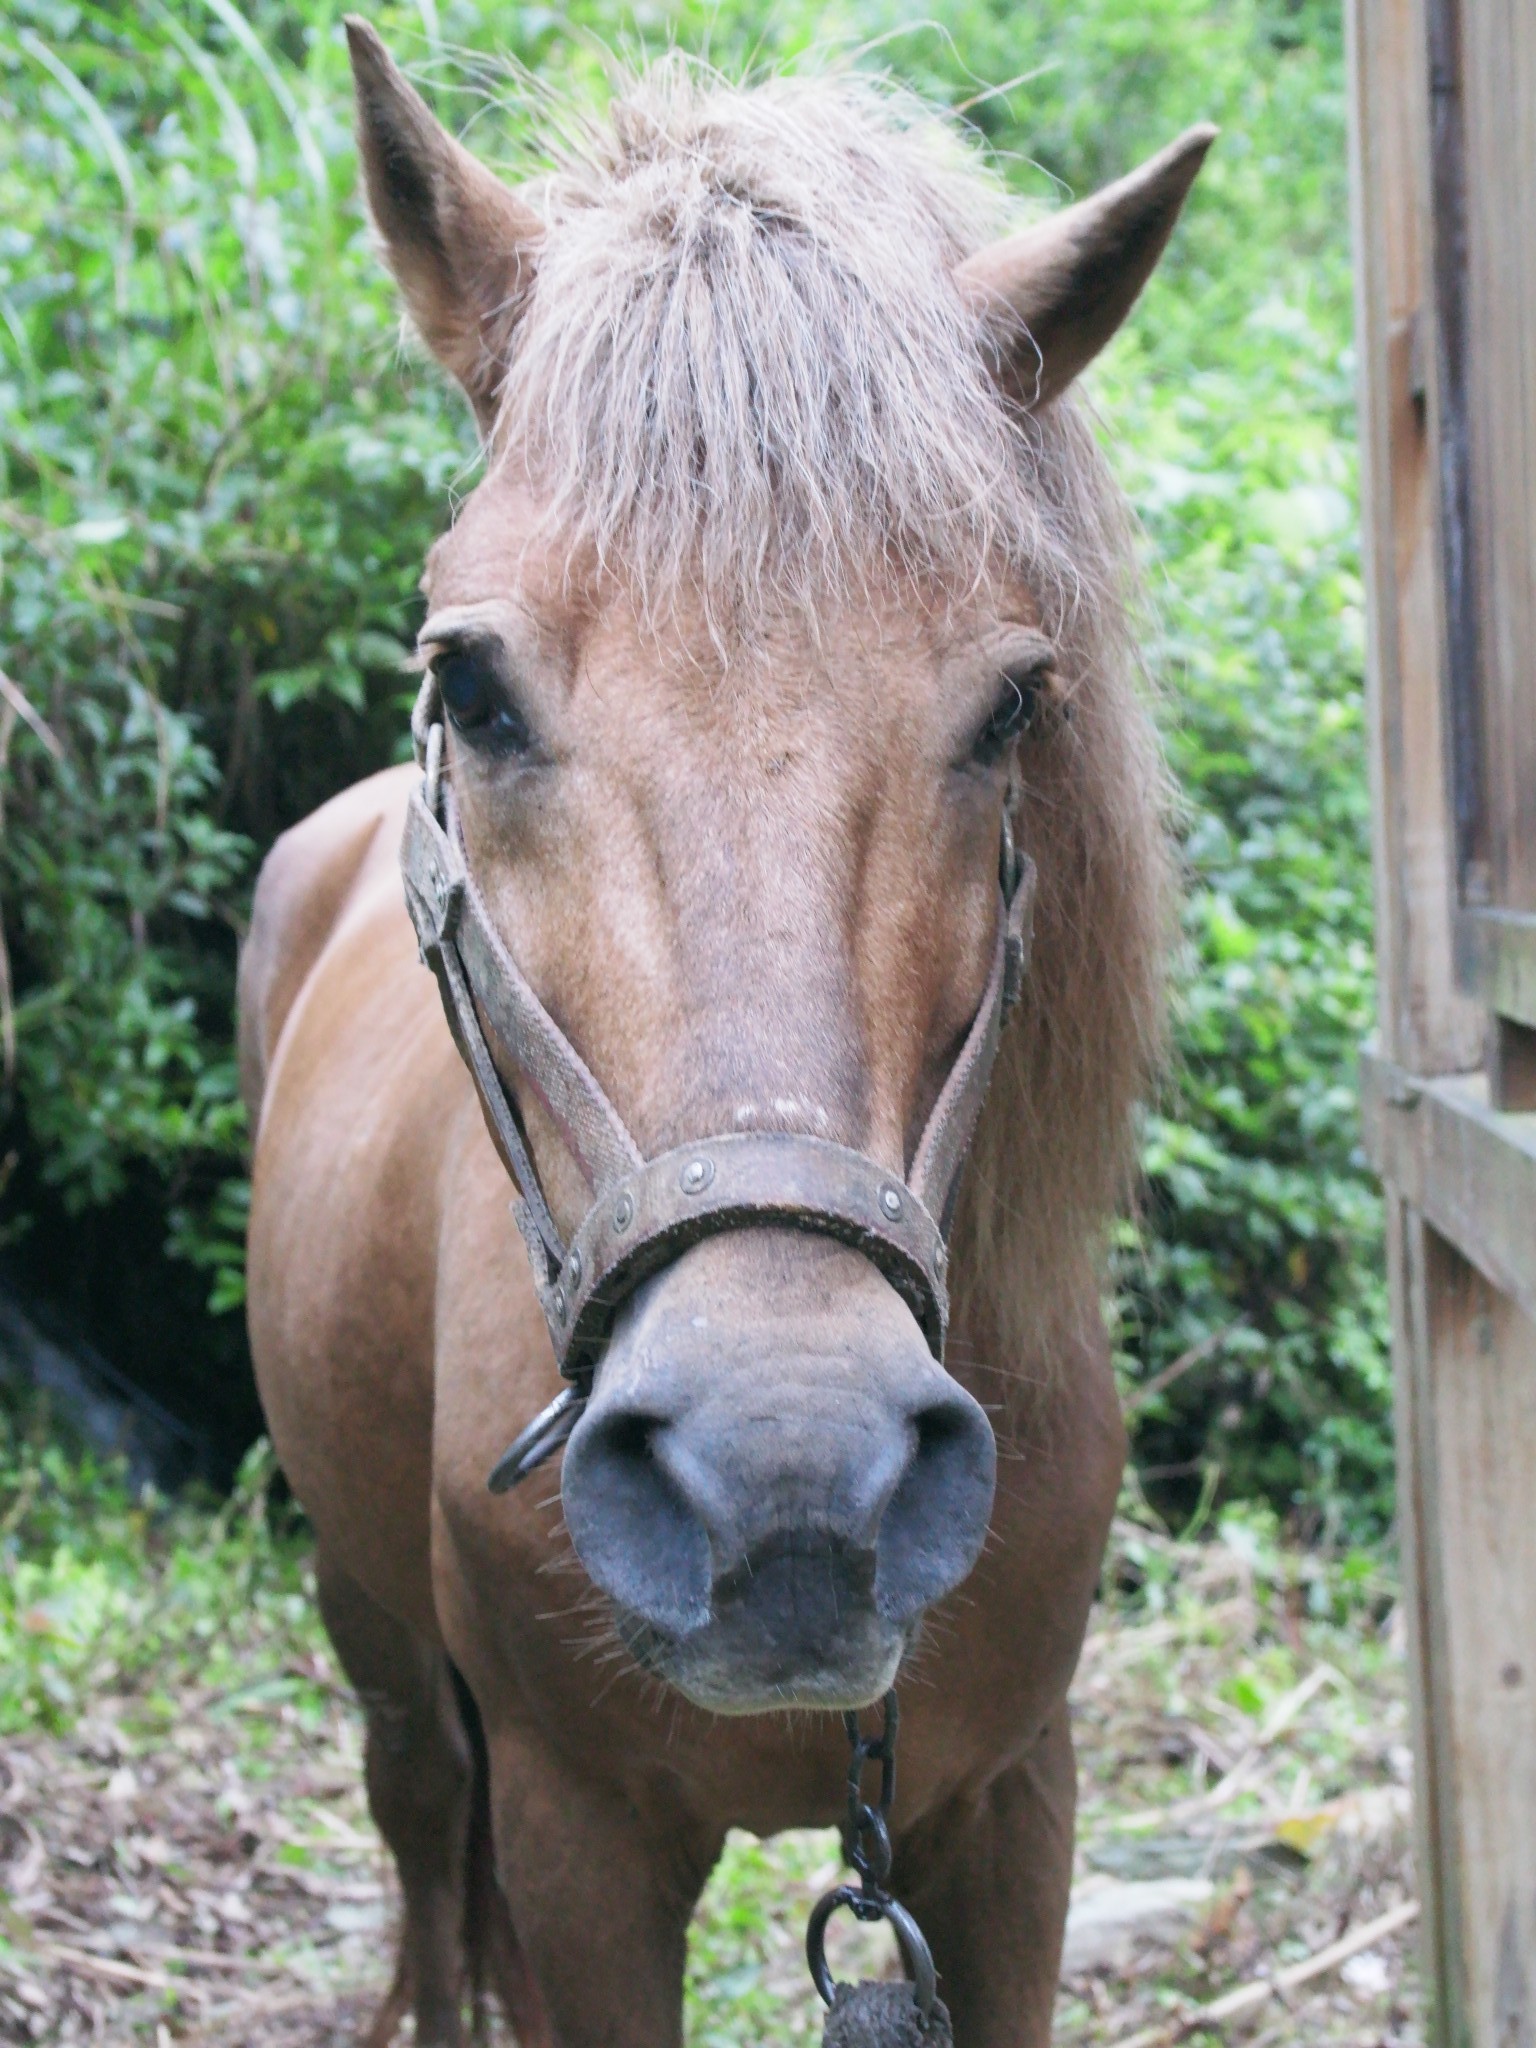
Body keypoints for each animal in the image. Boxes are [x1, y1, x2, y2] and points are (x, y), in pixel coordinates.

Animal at [240, 19, 1212, 2048]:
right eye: (469, 680)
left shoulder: (1013, 1817)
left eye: (1014, 706)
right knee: (423, 1853)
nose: (789, 1475)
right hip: (379, 1645)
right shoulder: (579, 1842)